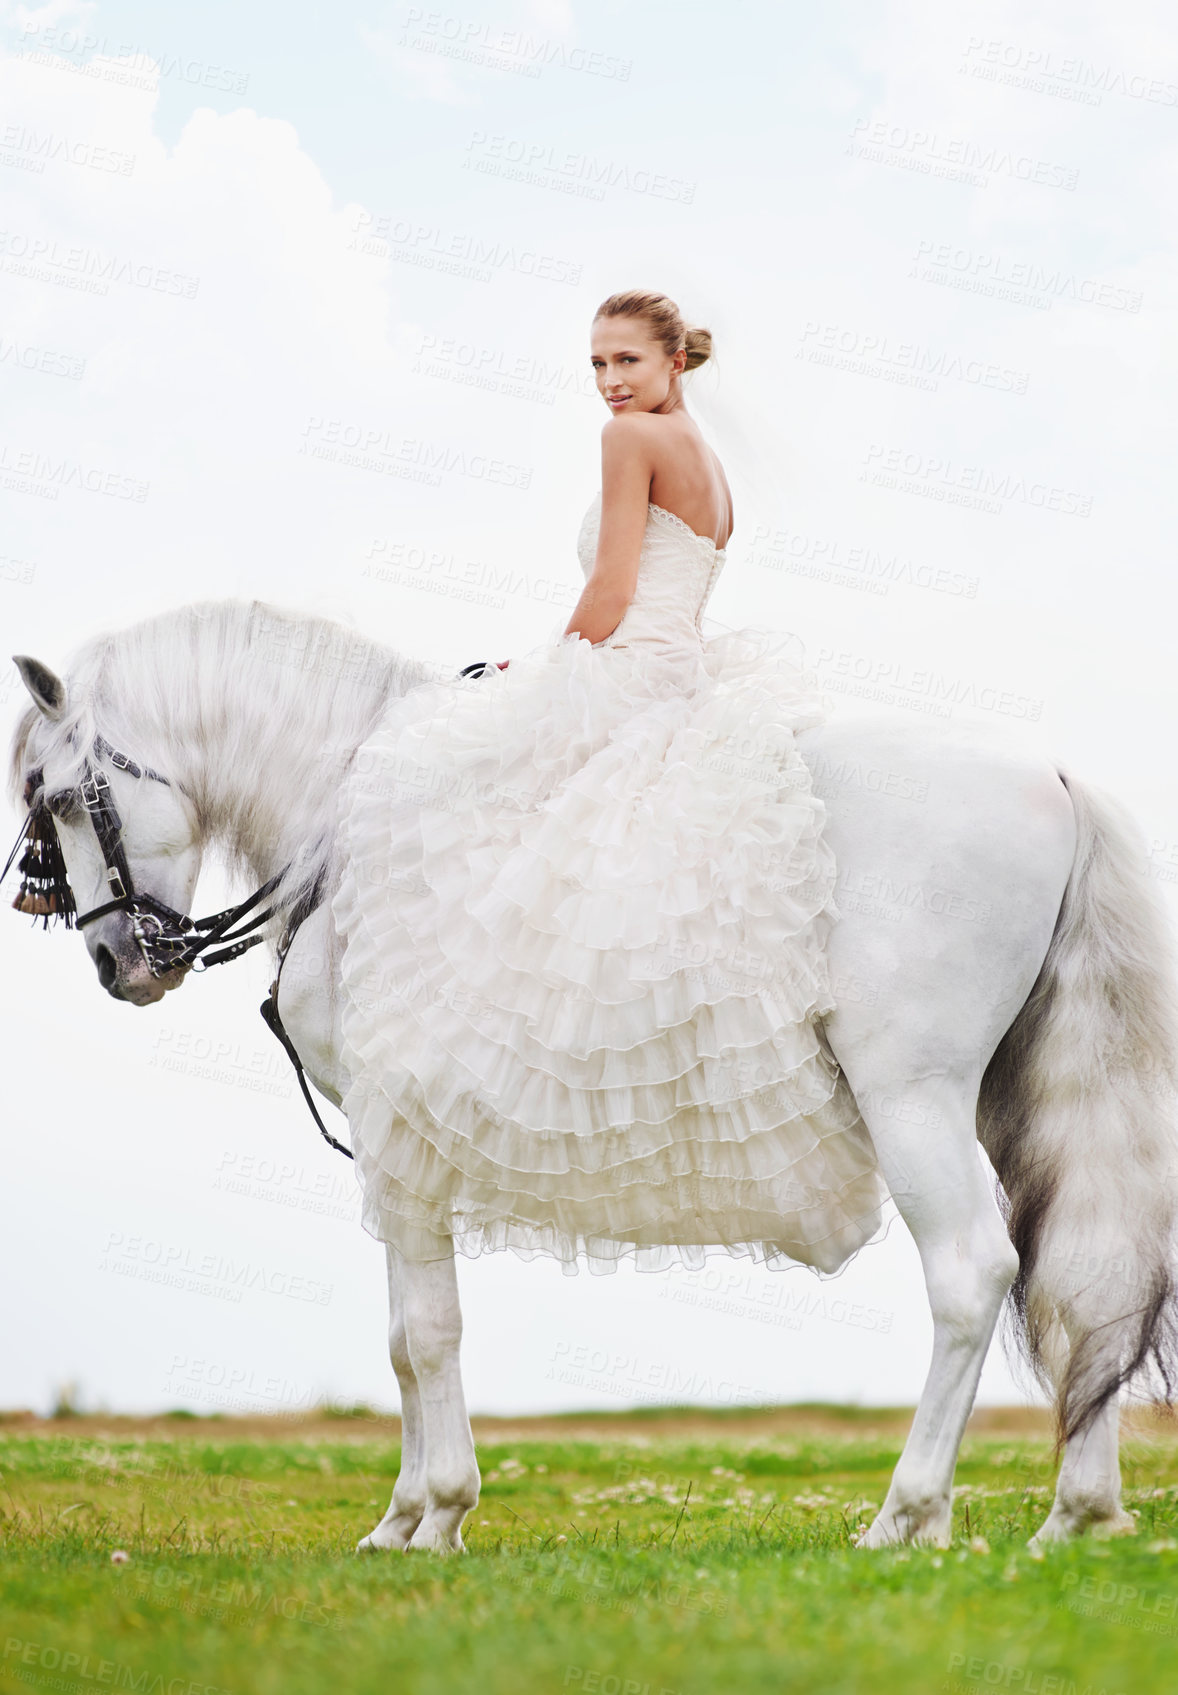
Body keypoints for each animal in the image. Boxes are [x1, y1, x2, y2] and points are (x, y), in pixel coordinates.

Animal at [9, 596, 1178, 1552]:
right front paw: (399, 1517)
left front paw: (435, 1515)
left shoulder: (400, 1145)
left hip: (913, 1098)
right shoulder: (399, 1151)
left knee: (972, 1275)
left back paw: (907, 1514)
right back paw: (1075, 1515)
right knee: (1085, 1278)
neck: (352, 828)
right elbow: (403, 1338)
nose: (116, 962)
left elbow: (422, 1332)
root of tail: (1054, 776)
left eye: (59, 799)